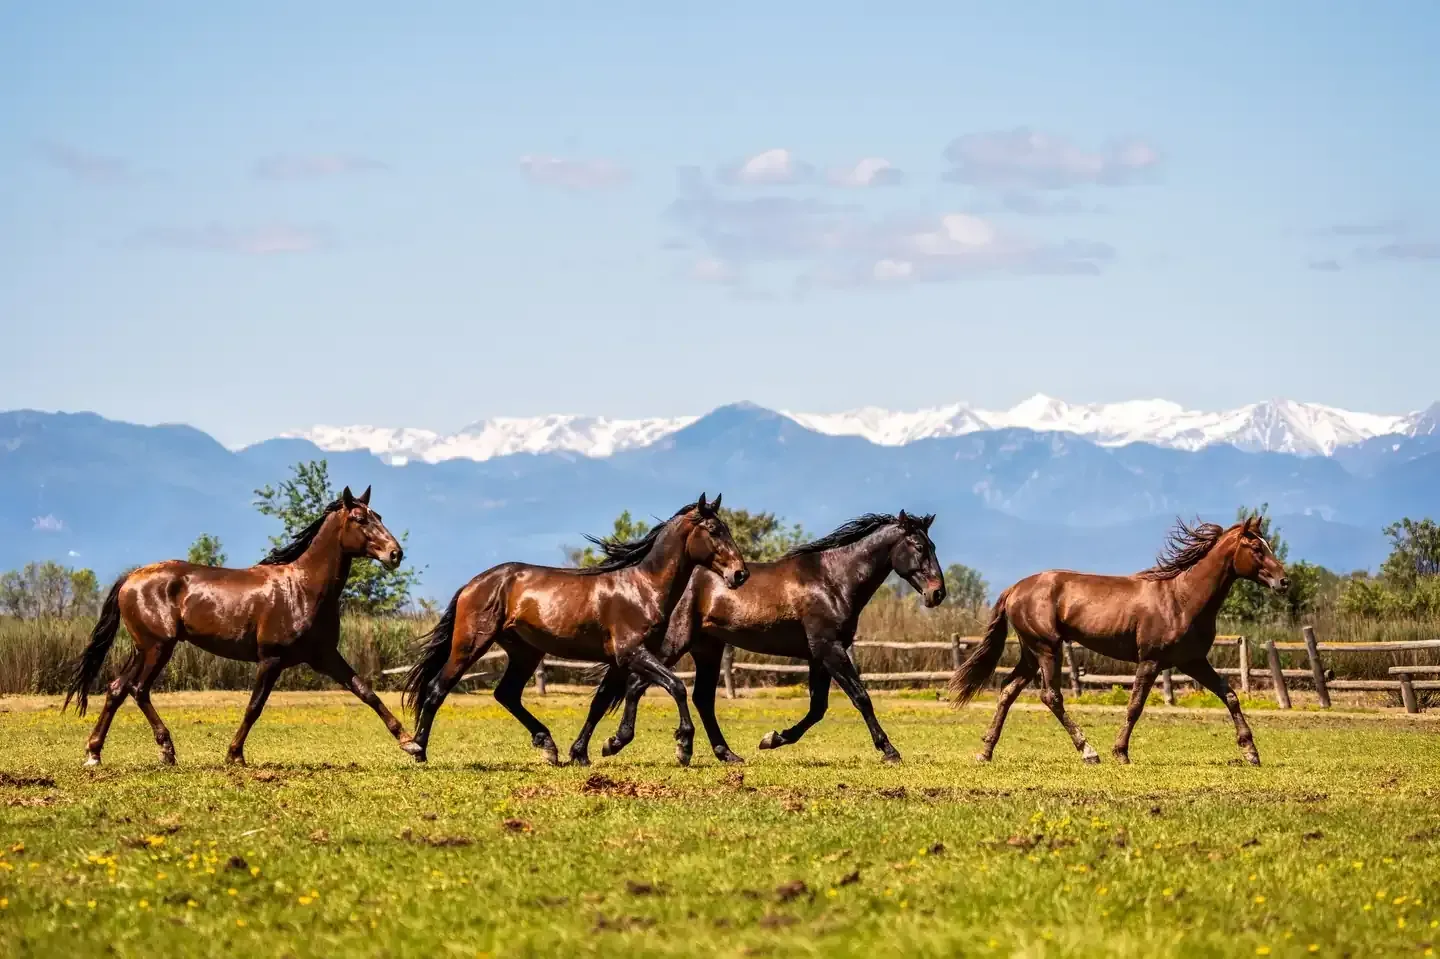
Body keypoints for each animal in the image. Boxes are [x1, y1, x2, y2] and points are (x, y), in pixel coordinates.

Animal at [65, 486, 423, 767]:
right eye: (360, 519)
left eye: (378, 515)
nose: (396, 554)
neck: (303, 588)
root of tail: (131, 578)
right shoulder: (271, 659)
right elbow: (254, 707)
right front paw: (235, 754)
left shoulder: (324, 656)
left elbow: (366, 692)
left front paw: (411, 743)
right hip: (158, 648)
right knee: (138, 690)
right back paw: (166, 750)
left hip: (144, 649)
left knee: (117, 689)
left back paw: (94, 753)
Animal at [402, 493, 748, 767]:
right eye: (714, 530)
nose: (740, 574)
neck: (643, 588)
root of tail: (473, 584)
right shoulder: (632, 653)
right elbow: (675, 687)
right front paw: (683, 746)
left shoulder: (624, 660)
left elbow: (602, 702)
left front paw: (587, 751)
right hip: (470, 645)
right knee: (436, 689)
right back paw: (418, 748)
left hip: (525, 652)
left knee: (506, 694)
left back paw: (548, 745)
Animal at [569, 511, 947, 766]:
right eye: (918, 546)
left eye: (933, 545)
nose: (937, 593)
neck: (833, 579)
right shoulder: (829, 649)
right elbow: (861, 698)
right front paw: (889, 750)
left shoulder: (818, 654)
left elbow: (818, 709)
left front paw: (773, 739)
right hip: (673, 644)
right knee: (638, 686)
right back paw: (616, 744)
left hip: (708, 648)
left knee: (700, 698)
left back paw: (726, 754)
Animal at [949, 514, 1288, 766]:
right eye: (1256, 548)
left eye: (1269, 545)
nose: (1284, 581)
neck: (1182, 598)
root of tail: (1014, 589)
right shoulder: (1150, 660)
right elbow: (1135, 706)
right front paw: (1121, 752)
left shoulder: (1193, 661)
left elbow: (1229, 694)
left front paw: (1251, 752)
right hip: (1047, 649)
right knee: (1051, 696)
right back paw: (1088, 752)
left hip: (1031, 653)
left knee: (1008, 691)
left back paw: (985, 752)